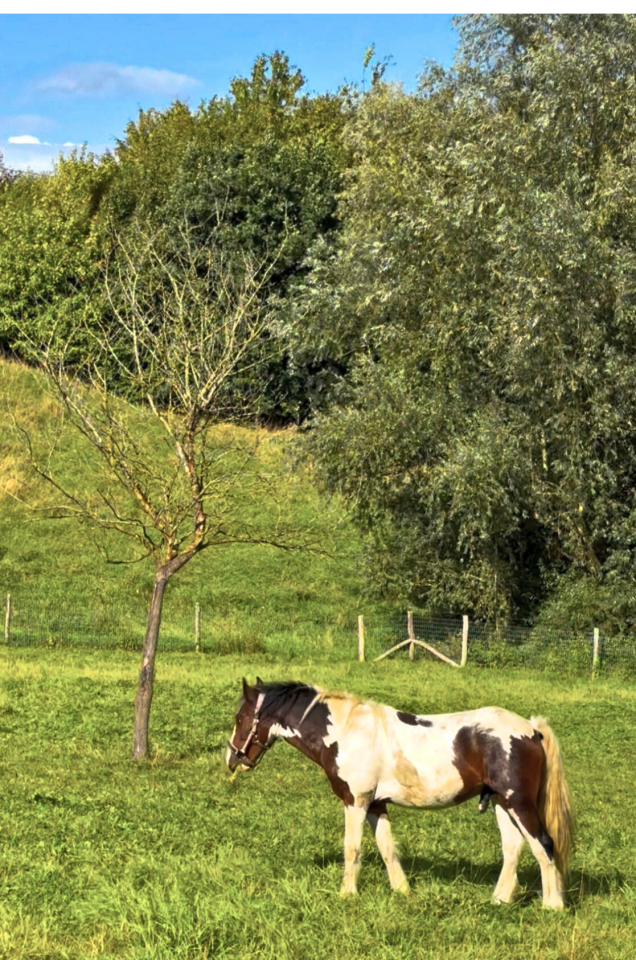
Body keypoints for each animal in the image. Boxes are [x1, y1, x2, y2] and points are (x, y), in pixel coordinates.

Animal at [226, 679, 574, 909]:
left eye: (240, 718)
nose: (231, 759)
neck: (346, 731)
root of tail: (531, 729)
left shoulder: (356, 802)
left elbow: (352, 848)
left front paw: (347, 894)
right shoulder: (376, 805)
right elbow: (387, 848)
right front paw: (402, 891)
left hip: (519, 804)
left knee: (544, 845)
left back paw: (552, 906)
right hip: (502, 803)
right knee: (513, 848)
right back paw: (499, 899)